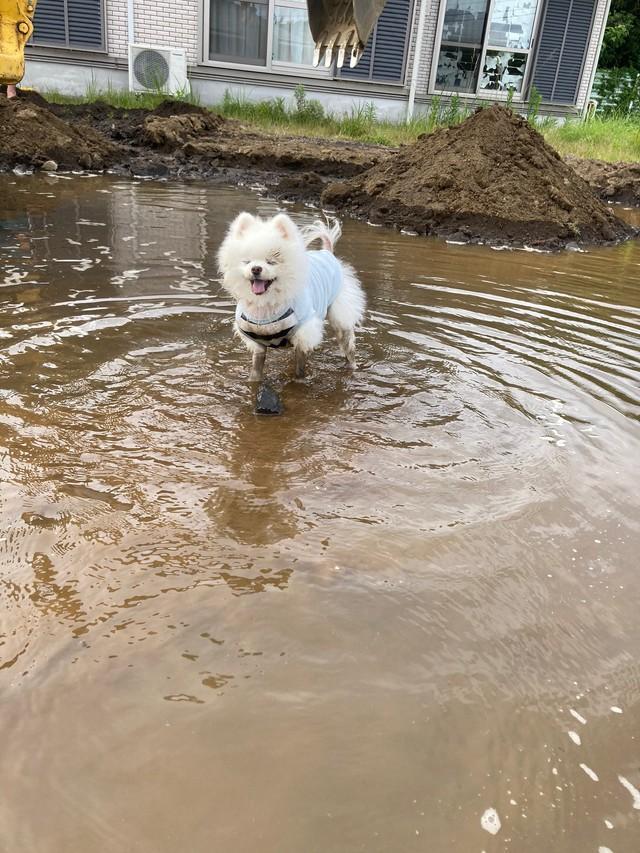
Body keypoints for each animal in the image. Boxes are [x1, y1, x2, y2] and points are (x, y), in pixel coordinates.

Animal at [216, 211, 364, 382]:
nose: (256, 269)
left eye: (271, 261)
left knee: (348, 345)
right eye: (247, 261)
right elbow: (256, 372)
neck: (266, 303)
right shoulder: (258, 345)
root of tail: (327, 252)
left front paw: (298, 382)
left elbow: (299, 370)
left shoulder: (303, 336)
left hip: (340, 317)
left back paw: (352, 368)